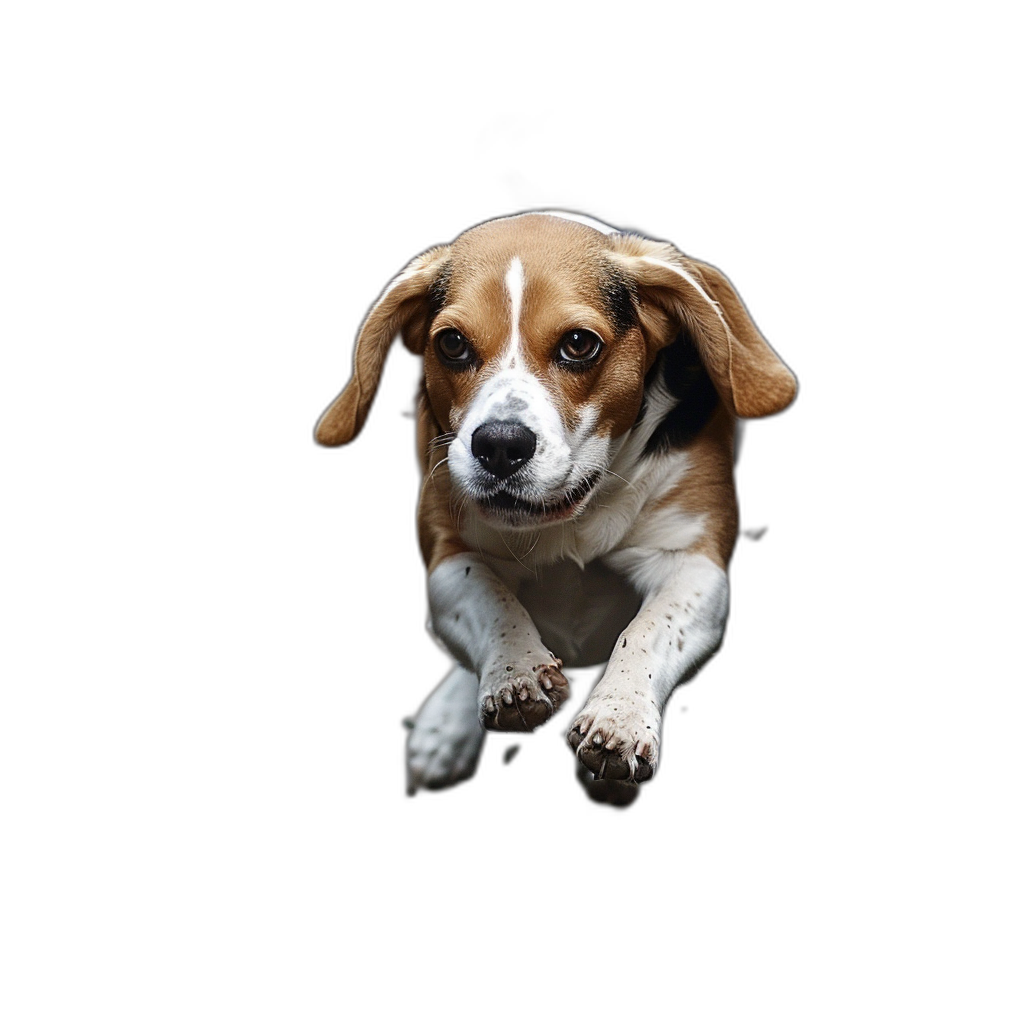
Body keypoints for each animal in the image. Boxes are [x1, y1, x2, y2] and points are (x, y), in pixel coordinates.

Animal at [315, 209, 794, 806]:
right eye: (451, 344)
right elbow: (488, 597)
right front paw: (516, 673)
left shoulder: (692, 560)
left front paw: (619, 718)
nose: (499, 445)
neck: (576, 512)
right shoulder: (449, 548)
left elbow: (651, 627)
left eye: (579, 344)